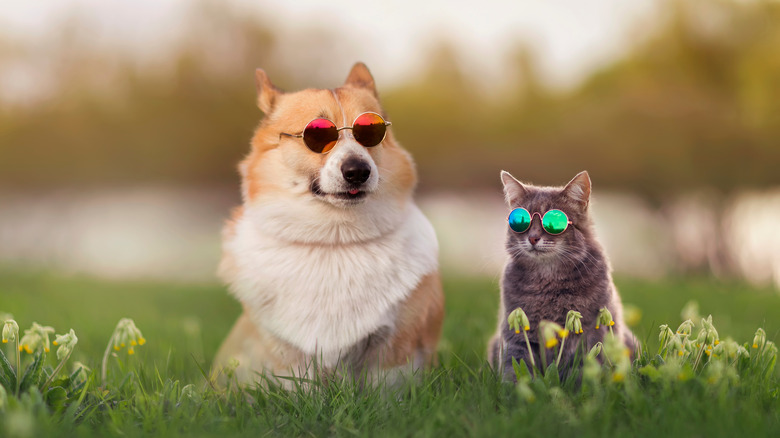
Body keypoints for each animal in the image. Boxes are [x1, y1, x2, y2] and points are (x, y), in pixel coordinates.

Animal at [213, 63, 444, 384]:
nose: (358, 171)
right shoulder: (288, 355)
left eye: (371, 131)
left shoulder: (393, 350)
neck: (335, 238)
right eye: (318, 134)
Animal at [490, 169, 636, 382]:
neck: (548, 280)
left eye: (554, 222)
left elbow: (587, 368)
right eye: (520, 221)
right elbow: (516, 367)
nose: (533, 237)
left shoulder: (592, 330)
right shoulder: (516, 332)